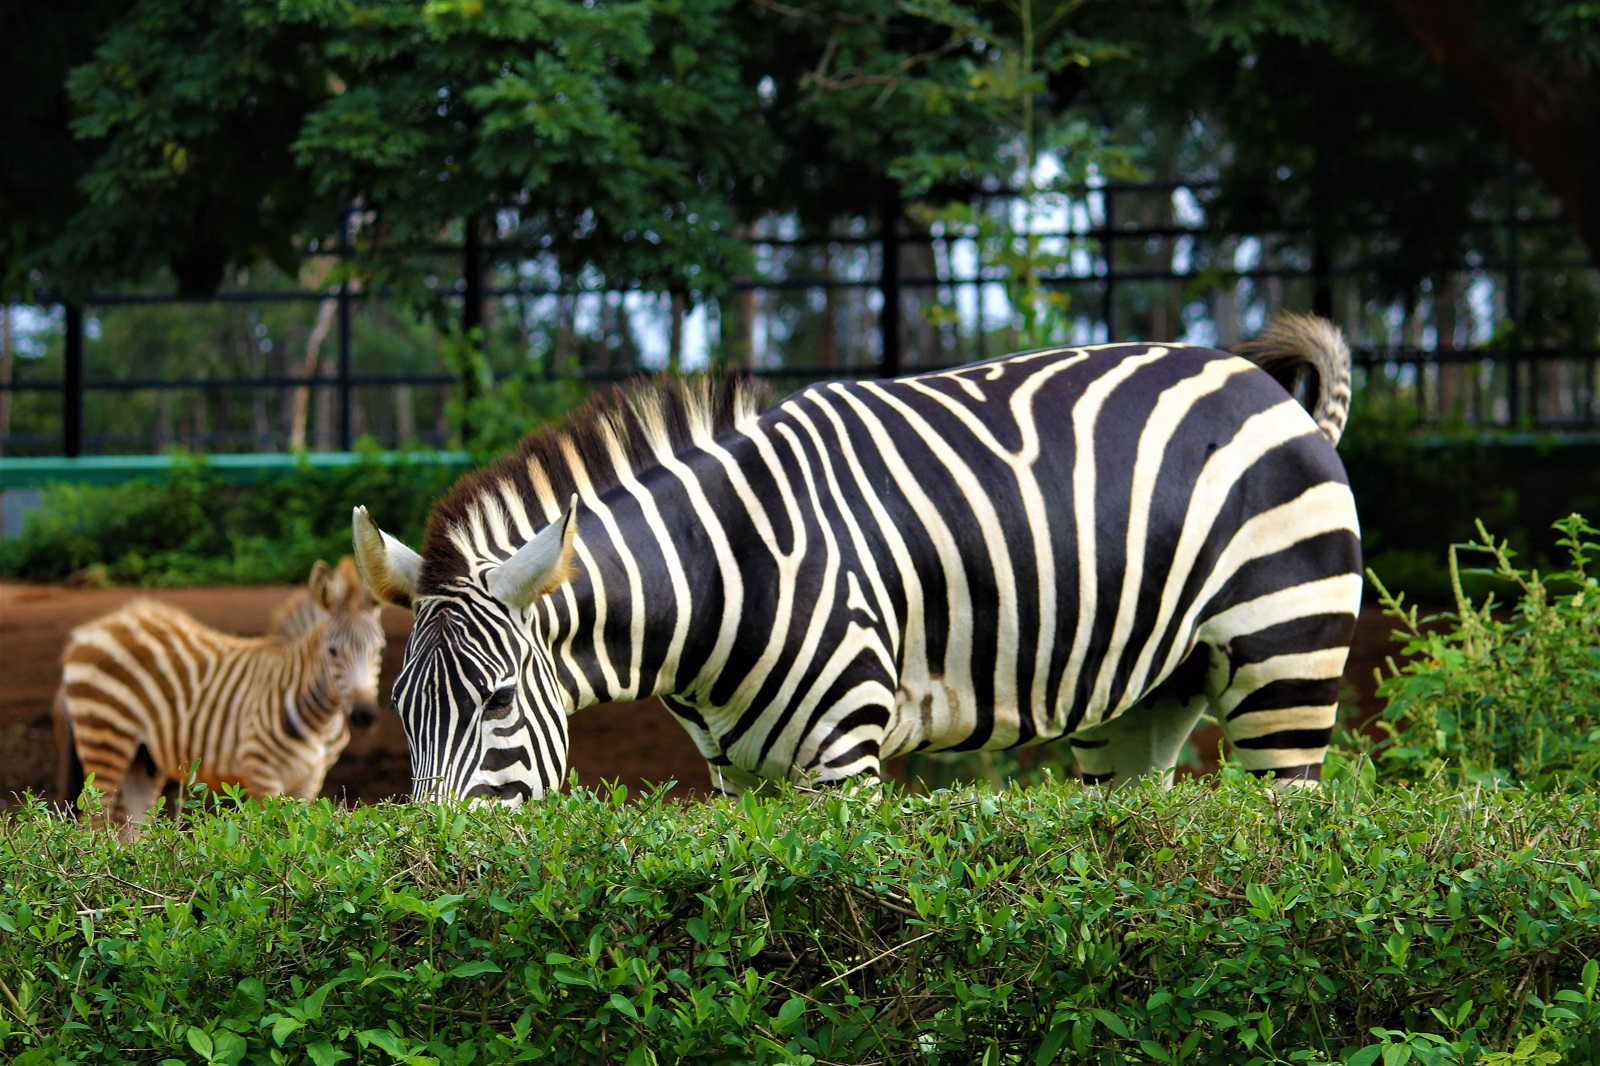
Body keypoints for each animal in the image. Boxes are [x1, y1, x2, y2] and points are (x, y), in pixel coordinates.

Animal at [57, 557, 387, 819]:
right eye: (332, 652)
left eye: (380, 650)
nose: (365, 715)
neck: (320, 720)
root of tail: (92, 629)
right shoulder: (261, 771)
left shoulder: (311, 779)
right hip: (106, 737)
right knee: (95, 821)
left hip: (142, 758)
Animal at [353, 313, 1363, 797]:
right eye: (398, 710)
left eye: (497, 701)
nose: (440, 873)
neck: (722, 573)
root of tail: (1267, 391)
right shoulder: (739, 777)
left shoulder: (843, 760)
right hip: (1146, 700)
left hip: (1288, 663)